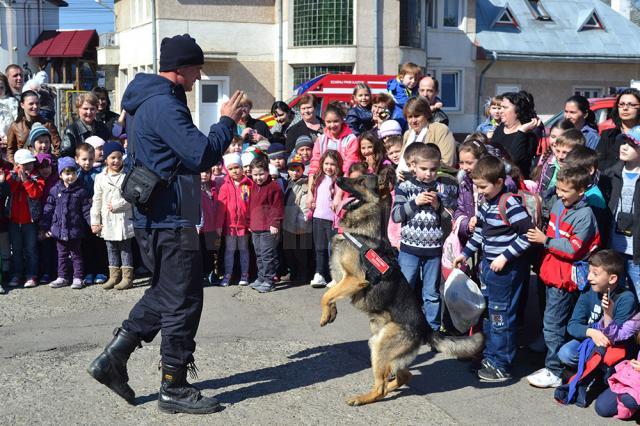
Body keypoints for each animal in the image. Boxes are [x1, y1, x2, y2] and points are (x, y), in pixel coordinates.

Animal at [322, 174, 482, 406]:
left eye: (360, 181)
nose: (337, 178)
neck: (360, 232)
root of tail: (426, 328)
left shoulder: (353, 280)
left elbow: (325, 295)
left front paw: (325, 313)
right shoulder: (340, 280)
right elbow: (329, 294)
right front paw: (330, 313)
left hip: (380, 346)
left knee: (381, 386)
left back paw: (363, 398)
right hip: (378, 344)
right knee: (404, 375)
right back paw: (391, 386)